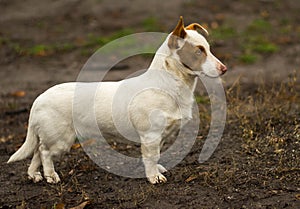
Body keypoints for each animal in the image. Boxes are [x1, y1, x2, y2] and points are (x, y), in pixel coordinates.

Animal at [7, 16, 226, 184]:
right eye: (198, 51)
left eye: (208, 48)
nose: (224, 69)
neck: (170, 83)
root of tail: (39, 99)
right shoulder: (150, 136)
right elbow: (151, 157)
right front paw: (154, 177)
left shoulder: (161, 136)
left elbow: (156, 156)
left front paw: (158, 169)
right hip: (60, 138)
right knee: (44, 152)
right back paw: (51, 176)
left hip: (50, 135)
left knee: (36, 152)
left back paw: (34, 175)